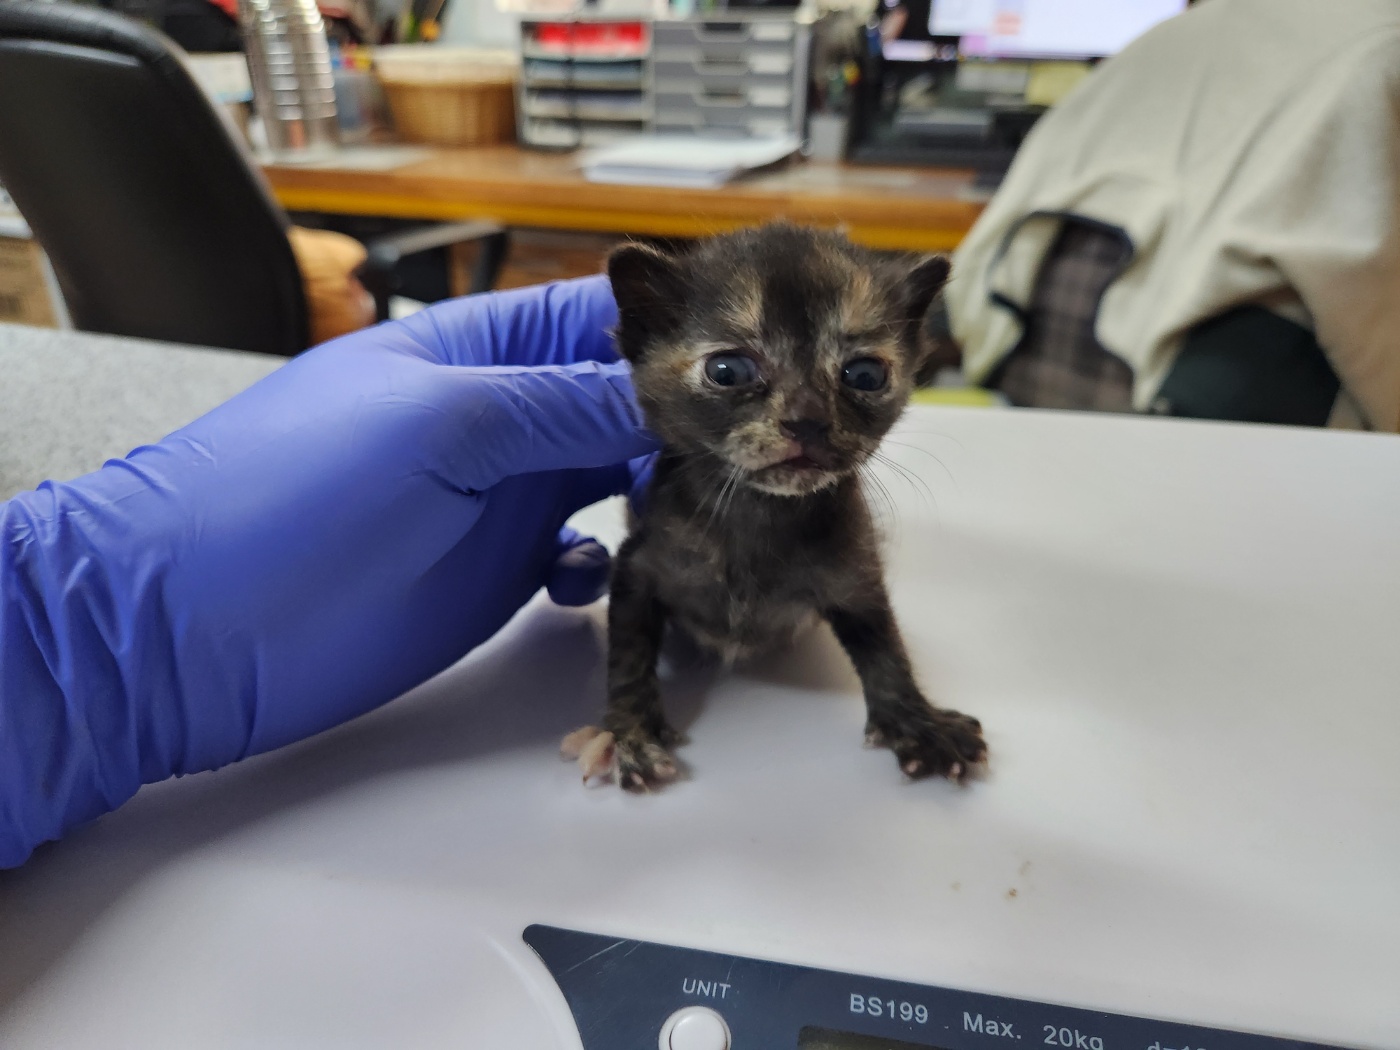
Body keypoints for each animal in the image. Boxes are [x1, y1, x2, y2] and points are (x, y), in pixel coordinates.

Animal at [557, 224, 985, 795]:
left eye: (865, 375)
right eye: (727, 370)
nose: (808, 420)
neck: (757, 515)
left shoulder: (856, 574)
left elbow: (886, 647)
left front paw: (917, 723)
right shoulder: (636, 567)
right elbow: (627, 656)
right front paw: (629, 734)